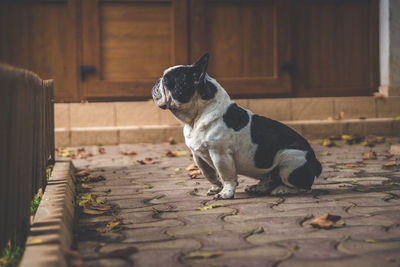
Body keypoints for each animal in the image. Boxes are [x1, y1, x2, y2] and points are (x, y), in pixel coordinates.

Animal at [151, 52, 322, 199]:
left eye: (167, 81)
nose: (157, 81)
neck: (196, 117)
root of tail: (314, 159)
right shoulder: (198, 155)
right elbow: (209, 174)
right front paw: (215, 188)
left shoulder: (220, 154)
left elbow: (226, 175)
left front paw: (225, 193)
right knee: (271, 179)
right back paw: (259, 187)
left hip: (289, 162)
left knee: (304, 187)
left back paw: (282, 190)